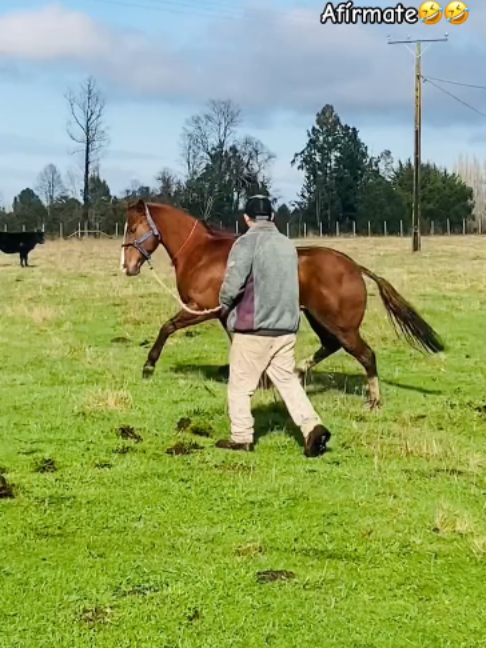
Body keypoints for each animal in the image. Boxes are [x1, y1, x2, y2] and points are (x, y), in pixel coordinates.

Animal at [121, 200, 444, 409]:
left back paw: (374, 399)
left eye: (133, 228)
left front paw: (148, 366)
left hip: (340, 324)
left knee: (366, 355)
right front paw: (260, 379)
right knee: (331, 346)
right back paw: (298, 372)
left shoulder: (200, 308)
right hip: (319, 318)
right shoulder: (225, 314)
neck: (202, 254)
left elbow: (167, 327)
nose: (127, 266)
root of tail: (354, 266)